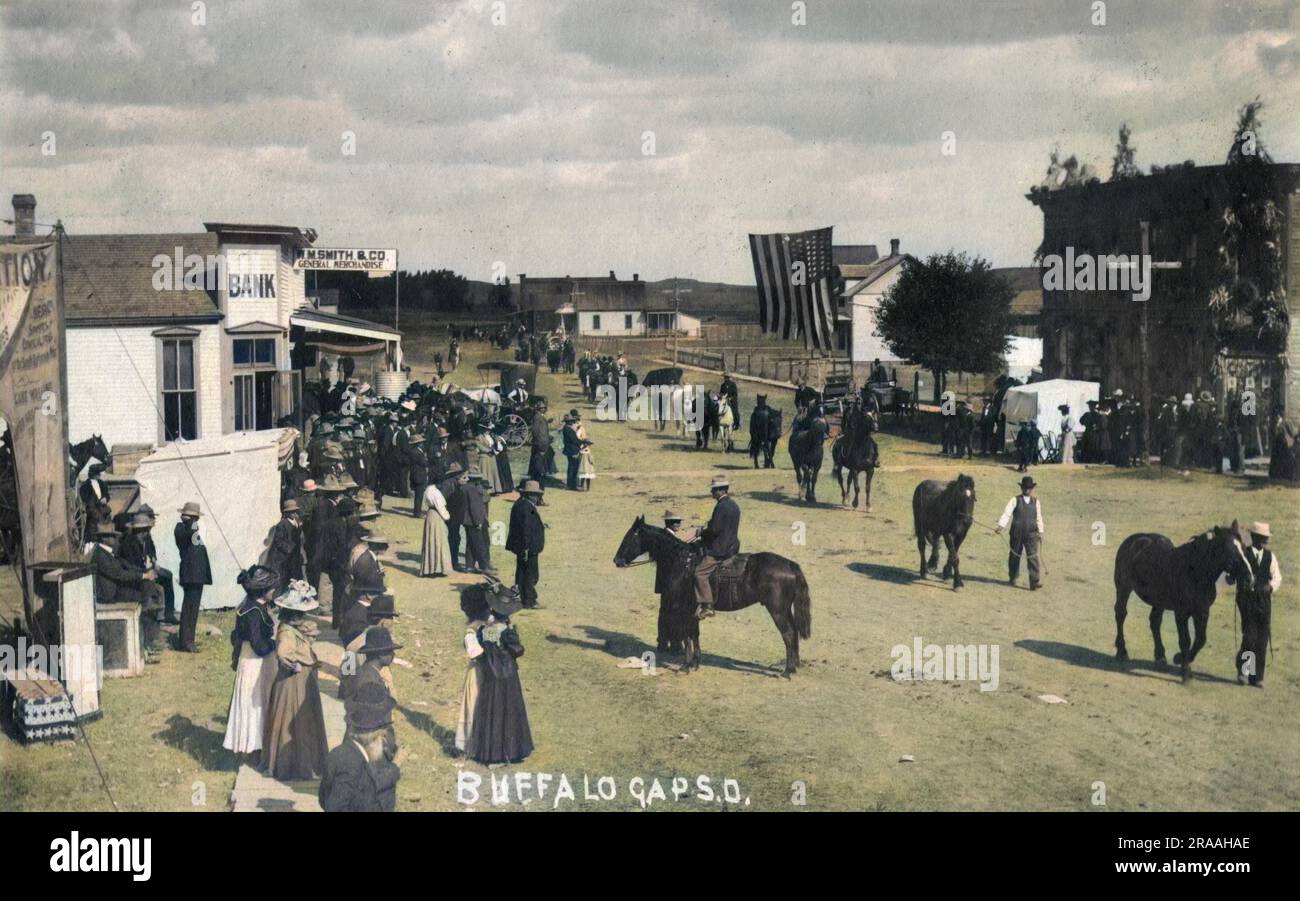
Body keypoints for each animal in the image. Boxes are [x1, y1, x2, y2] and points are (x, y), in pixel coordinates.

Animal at [611, 512, 811, 676]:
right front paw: (695, 663)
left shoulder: (684, 608)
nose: (617, 560)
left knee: (788, 633)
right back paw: (794, 666)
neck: (681, 561)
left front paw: (685, 666)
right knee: (794, 632)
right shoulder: (693, 609)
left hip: (777, 610)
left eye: (629, 537)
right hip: (785, 610)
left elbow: (687, 635)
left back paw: (787, 671)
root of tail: (790, 565)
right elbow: (694, 634)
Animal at [1112, 520, 1253, 681]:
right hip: (1123, 588)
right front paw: (1186, 671)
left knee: (1155, 622)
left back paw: (1160, 657)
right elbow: (1185, 640)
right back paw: (1122, 651)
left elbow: (1200, 640)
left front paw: (1179, 658)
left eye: (1244, 548)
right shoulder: (1181, 613)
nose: (1249, 579)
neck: (1194, 573)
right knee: (1121, 614)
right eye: (1229, 551)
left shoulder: (1202, 612)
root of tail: (1133, 540)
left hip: (1159, 602)